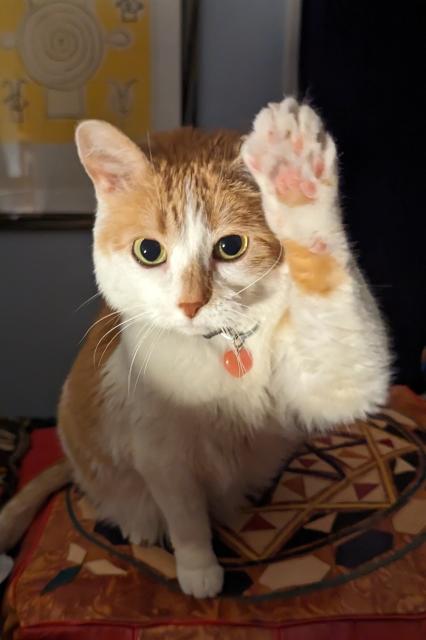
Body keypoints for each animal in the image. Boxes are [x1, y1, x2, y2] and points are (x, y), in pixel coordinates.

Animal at [0, 97, 390, 596]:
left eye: (231, 246)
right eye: (148, 251)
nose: (190, 303)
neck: (221, 347)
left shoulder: (336, 378)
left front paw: (294, 180)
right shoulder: (162, 455)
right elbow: (185, 516)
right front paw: (198, 569)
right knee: (117, 498)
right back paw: (140, 526)